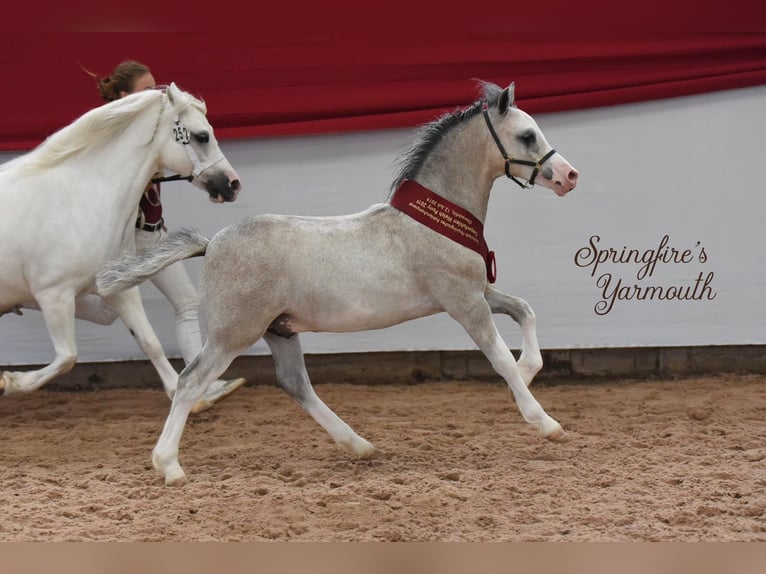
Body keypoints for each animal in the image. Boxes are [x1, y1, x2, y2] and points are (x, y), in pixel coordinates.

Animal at [0, 82, 242, 410]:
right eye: (202, 136)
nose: (233, 184)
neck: (79, 198)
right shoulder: (53, 296)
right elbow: (67, 357)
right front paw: (11, 382)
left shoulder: (119, 290)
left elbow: (150, 342)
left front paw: (185, 396)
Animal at [100, 81, 584, 486]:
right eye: (527, 136)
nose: (569, 176)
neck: (431, 220)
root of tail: (212, 242)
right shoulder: (464, 302)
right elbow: (500, 358)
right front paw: (547, 423)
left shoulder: (478, 293)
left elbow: (524, 310)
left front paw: (530, 368)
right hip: (233, 334)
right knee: (190, 381)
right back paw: (169, 466)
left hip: (279, 330)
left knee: (294, 384)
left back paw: (360, 445)